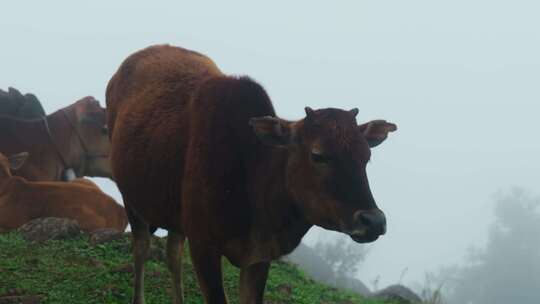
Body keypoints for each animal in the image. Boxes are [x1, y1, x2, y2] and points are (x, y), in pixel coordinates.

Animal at [106, 44, 396, 304]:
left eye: (366, 157)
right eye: (318, 155)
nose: (373, 221)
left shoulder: (259, 256)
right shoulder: (203, 246)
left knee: (173, 253)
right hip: (131, 197)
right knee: (142, 247)